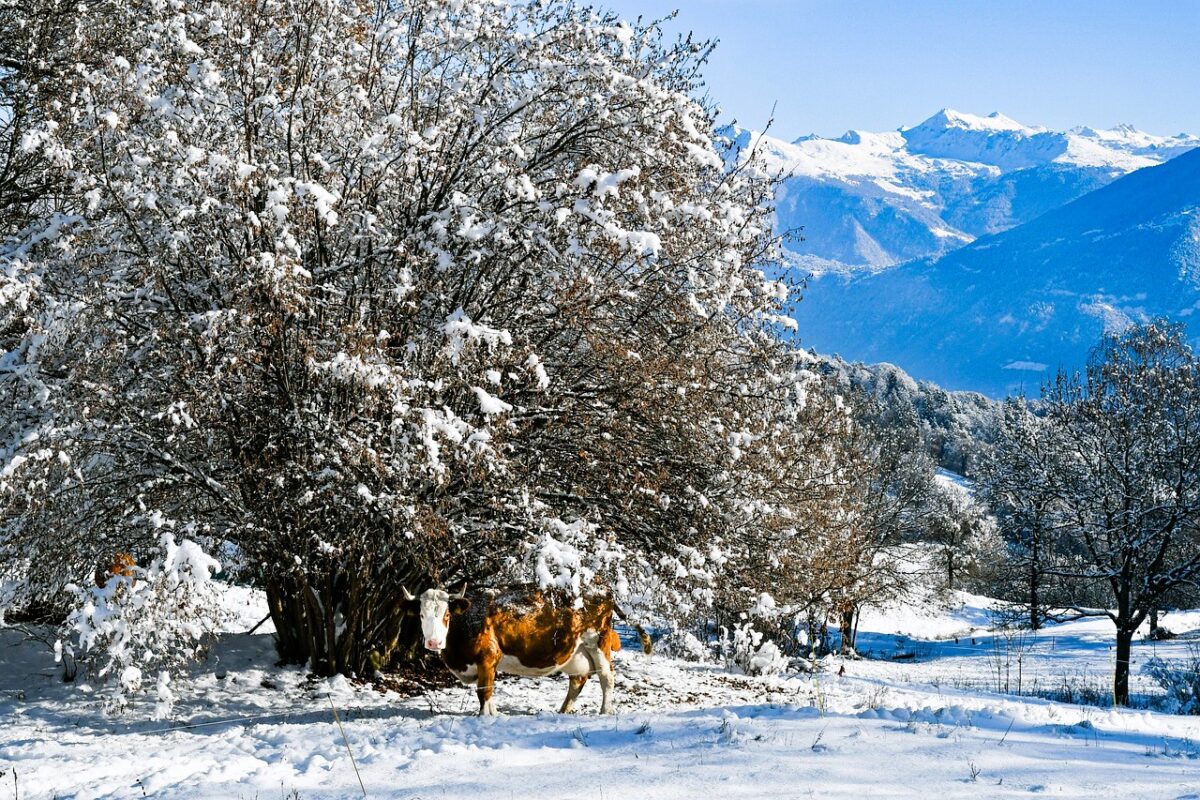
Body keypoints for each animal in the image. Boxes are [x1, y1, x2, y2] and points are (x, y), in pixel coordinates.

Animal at [404, 585, 651, 716]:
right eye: (421, 615)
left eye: (446, 615)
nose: (434, 642)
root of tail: (601, 588)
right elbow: (487, 692)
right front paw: (493, 713)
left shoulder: (488, 657)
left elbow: (484, 691)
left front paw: (485, 717)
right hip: (576, 651)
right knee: (578, 679)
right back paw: (563, 710)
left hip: (597, 640)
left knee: (606, 677)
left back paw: (605, 711)